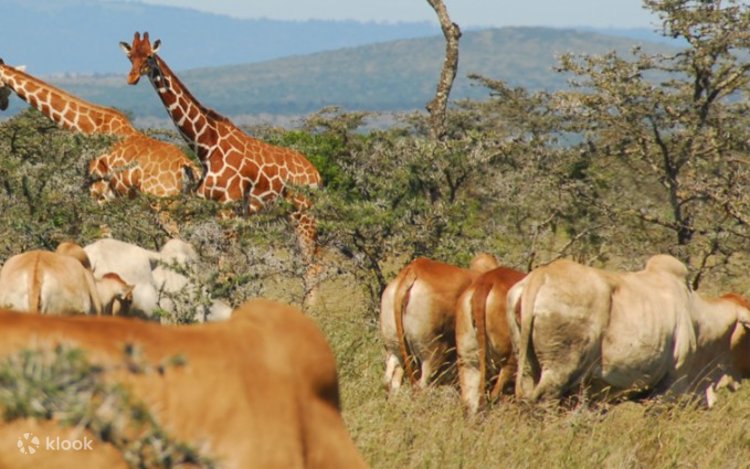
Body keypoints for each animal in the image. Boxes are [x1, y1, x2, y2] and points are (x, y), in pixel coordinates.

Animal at [120, 32, 323, 281]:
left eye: (149, 56)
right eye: (130, 56)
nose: (132, 78)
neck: (207, 147)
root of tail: (316, 175)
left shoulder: (229, 209)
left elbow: (227, 268)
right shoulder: (213, 208)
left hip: (304, 215)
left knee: (313, 266)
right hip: (288, 217)